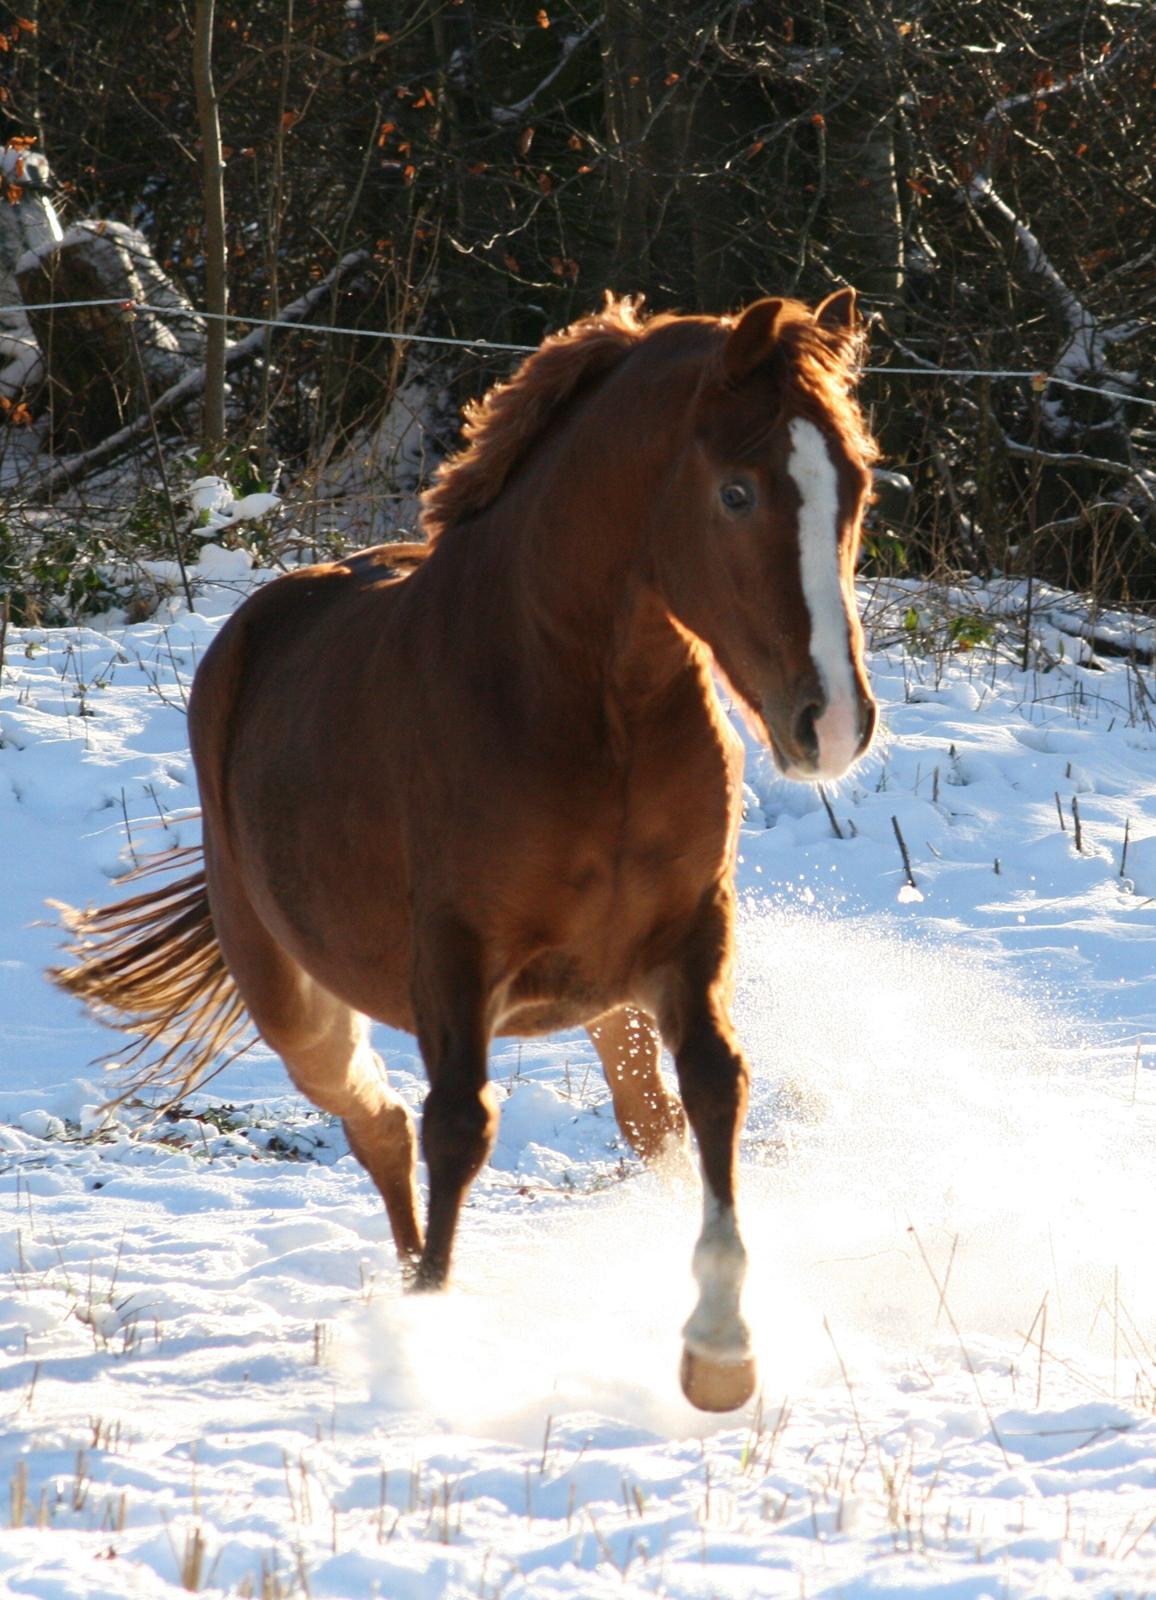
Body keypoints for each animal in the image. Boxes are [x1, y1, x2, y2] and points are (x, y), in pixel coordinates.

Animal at [56, 291, 871, 1414]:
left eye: (858, 485)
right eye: (737, 492)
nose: (831, 724)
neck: (586, 704)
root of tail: (253, 628)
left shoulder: (687, 934)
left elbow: (714, 1087)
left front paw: (719, 1352)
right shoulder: (455, 956)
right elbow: (457, 1127)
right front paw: (434, 1346)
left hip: (606, 1000)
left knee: (637, 1125)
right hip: (295, 1003)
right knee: (384, 1126)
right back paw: (408, 1295)